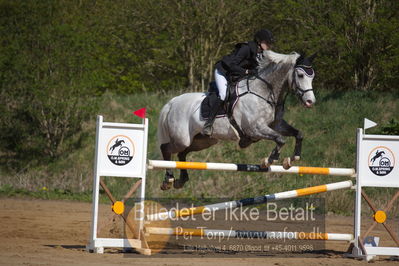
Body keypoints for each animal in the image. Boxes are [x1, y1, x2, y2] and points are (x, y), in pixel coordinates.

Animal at [156, 50, 316, 190]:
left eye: (312, 76)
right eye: (300, 75)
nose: (310, 101)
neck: (264, 92)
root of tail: (172, 103)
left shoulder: (276, 124)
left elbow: (298, 134)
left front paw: (292, 159)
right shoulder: (255, 129)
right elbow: (280, 139)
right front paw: (270, 160)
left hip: (203, 140)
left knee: (182, 154)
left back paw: (181, 180)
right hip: (182, 138)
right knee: (166, 149)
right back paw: (168, 180)